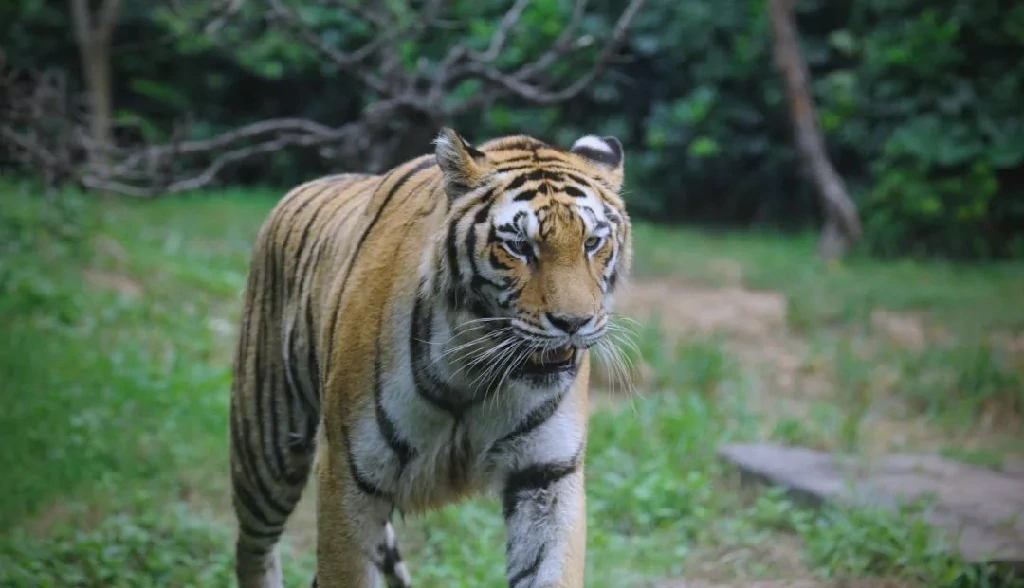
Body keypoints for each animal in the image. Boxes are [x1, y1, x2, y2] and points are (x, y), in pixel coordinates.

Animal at [229, 127, 632, 588]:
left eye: (592, 243)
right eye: (519, 247)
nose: (573, 322)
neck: (476, 372)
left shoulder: (547, 473)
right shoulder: (347, 476)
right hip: (267, 447)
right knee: (252, 548)